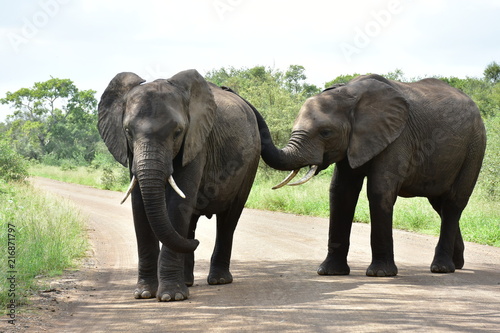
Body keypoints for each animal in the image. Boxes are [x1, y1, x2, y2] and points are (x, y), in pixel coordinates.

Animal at [98, 68, 262, 300]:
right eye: (128, 131)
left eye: (177, 132)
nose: (198, 243)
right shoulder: (131, 152)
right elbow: (139, 205)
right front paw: (144, 294)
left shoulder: (196, 140)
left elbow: (178, 203)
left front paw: (171, 296)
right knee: (191, 221)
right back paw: (187, 280)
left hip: (251, 163)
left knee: (228, 219)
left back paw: (218, 280)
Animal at [254, 74, 484, 276]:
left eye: (326, 133)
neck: (349, 92)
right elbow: (341, 192)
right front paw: (329, 272)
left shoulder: (397, 137)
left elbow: (379, 191)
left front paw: (380, 274)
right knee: (440, 204)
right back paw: (457, 264)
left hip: (475, 148)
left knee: (453, 202)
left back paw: (441, 268)